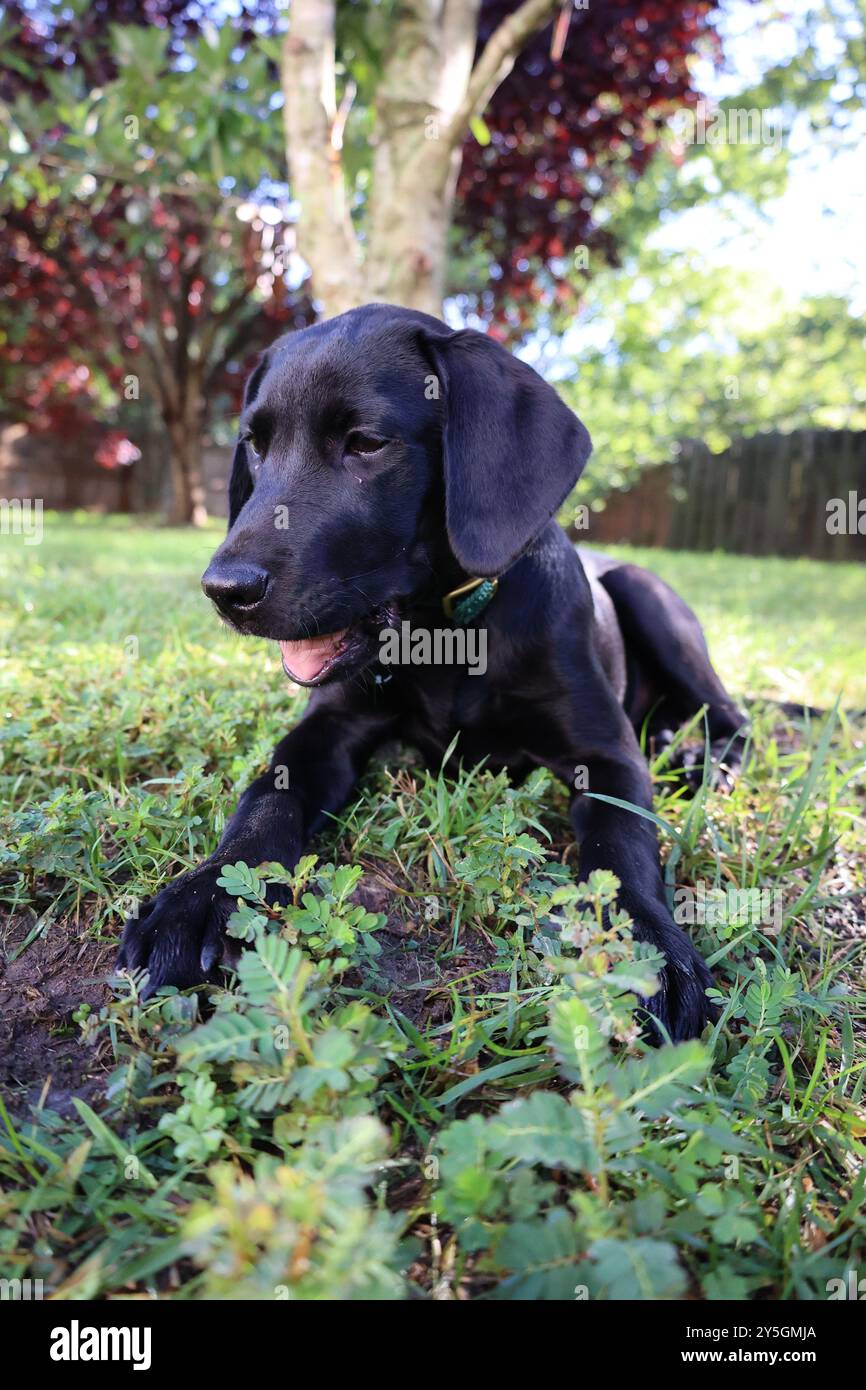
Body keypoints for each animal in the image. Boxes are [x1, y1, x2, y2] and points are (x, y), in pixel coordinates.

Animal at [118, 307, 750, 1045]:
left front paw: (644, 948)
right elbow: (264, 799)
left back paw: (703, 758)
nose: (224, 590)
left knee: (734, 715)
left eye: (366, 443)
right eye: (254, 444)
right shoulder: (328, 725)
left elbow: (620, 847)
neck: (444, 633)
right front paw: (202, 894)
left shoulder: (607, 751)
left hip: (648, 594)